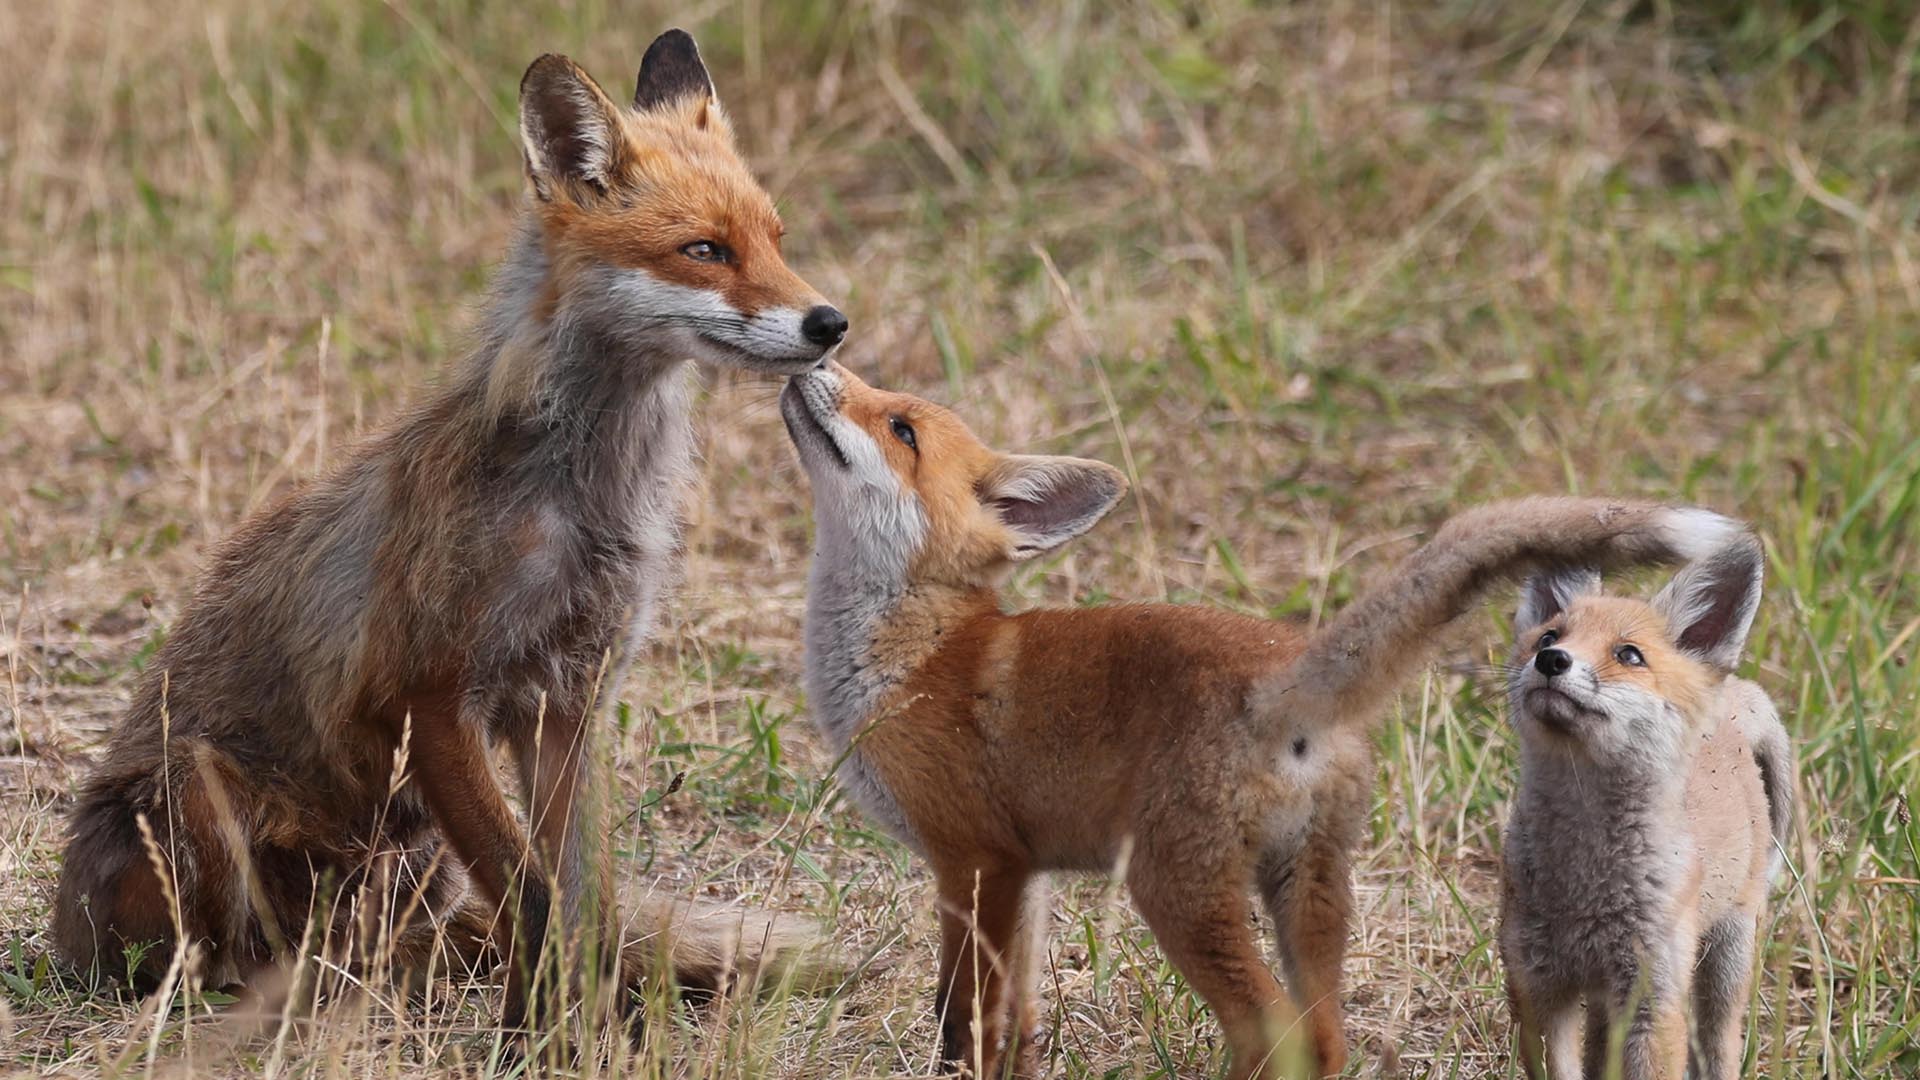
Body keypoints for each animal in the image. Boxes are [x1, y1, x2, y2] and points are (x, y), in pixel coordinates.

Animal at [52, 31, 848, 1031]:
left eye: (776, 241)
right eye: (704, 250)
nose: (832, 322)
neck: (586, 502)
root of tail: (61, 929)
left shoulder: (569, 702)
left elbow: (584, 899)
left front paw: (575, 1026)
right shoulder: (432, 697)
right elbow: (535, 898)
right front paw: (559, 1034)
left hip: (412, 862)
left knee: (382, 949)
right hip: (201, 789)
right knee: (231, 959)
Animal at [778, 361, 1753, 1079]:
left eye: (900, 428)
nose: (819, 352)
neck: (915, 652)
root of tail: (1283, 671)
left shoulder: (972, 861)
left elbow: (961, 1023)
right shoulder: (1026, 877)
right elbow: (1014, 1026)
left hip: (1175, 890)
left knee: (1271, 1033)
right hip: (1309, 891)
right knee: (1323, 1039)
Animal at [1499, 535, 1793, 1080]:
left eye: (1628, 654)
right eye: (1549, 635)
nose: (1551, 660)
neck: (1585, 888)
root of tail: (1733, 698)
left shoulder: (1653, 998)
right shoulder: (1537, 985)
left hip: (1726, 958)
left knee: (1718, 1044)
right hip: (1604, 996)